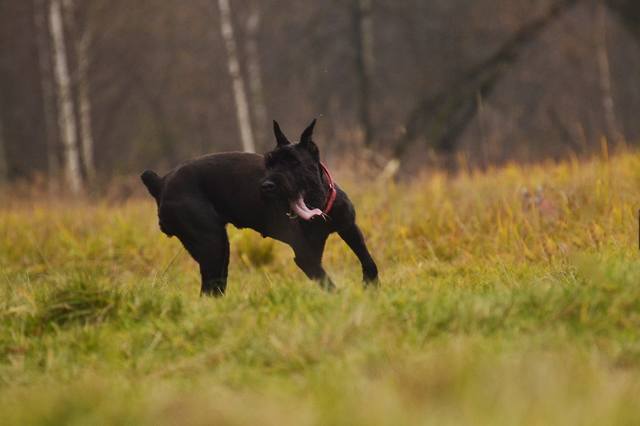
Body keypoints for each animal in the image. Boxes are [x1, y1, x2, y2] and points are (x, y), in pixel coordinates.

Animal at [141, 118, 376, 294]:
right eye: (269, 162)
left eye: (294, 162)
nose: (267, 185)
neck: (318, 204)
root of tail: (162, 182)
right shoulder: (306, 256)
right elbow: (327, 283)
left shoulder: (348, 228)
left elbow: (368, 260)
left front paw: (371, 286)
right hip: (211, 244)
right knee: (208, 289)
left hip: (217, 250)